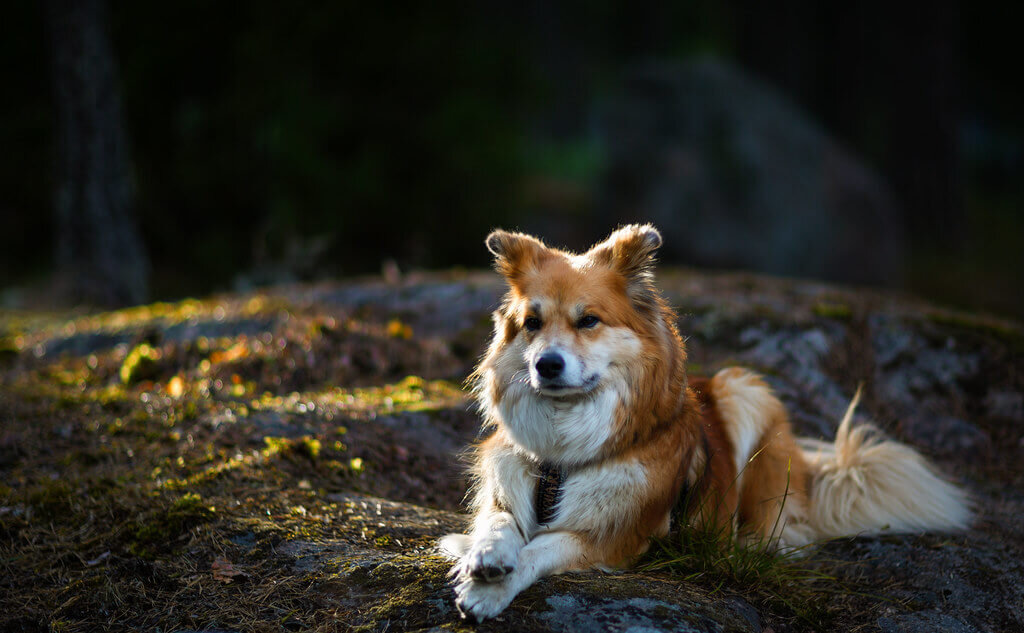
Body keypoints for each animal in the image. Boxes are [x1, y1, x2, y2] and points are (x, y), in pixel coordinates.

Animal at [438, 224, 966, 618]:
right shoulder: (508, 482)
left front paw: (489, 590)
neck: (563, 451)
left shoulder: (614, 536)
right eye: (532, 323)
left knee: (777, 530)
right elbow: (500, 522)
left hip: (745, 391)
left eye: (588, 320)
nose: (545, 364)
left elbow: (542, 547)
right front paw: (486, 555)